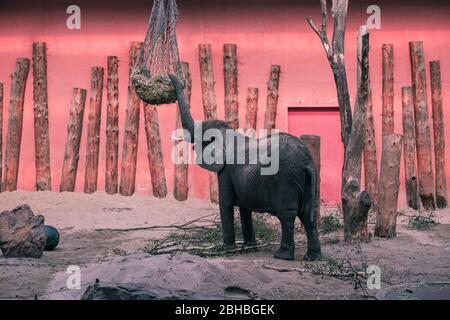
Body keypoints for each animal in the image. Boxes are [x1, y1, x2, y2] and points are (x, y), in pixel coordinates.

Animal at [168, 74, 320, 260]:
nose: (170, 76)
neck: (228, 133)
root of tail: (307, 161)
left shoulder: (227, 170)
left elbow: (225, 203)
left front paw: (227, 249)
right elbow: (244, 207)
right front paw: (250, 247)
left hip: (286, 179)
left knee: (287, 214)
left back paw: (282, 255)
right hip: (307, 179)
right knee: (308, 214)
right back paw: (312, 257)